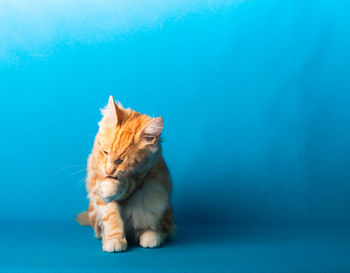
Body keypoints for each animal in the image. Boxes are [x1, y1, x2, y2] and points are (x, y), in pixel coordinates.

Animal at [77, 95, 175, 251]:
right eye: (105, 152)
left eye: (121, 161)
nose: (109, 171)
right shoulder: (95, 177)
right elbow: (111, 215)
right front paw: (114, 240)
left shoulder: (142, 175)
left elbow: (126, 184)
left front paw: (111, 186)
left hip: (157, 195)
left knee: (162, 227)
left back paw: (151, 235)